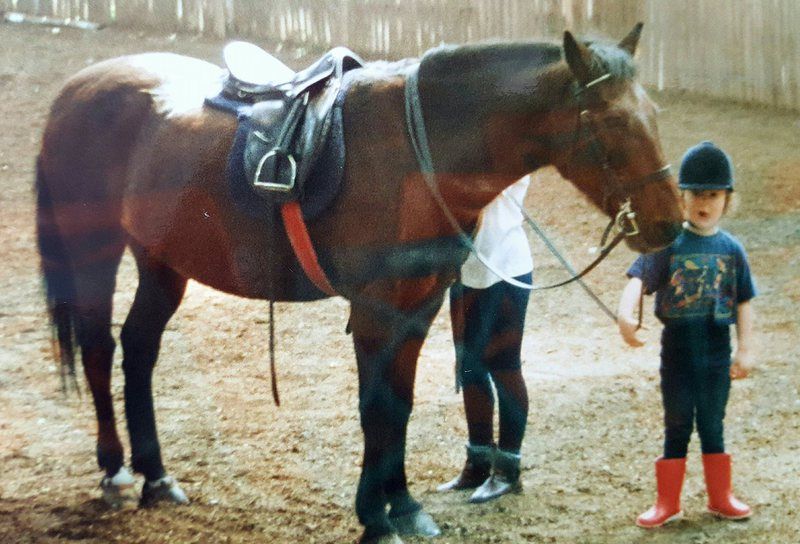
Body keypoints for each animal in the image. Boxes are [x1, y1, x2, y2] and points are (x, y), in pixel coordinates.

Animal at [35, 23, 682, 544]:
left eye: (656, 116)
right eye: (613, 123)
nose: (668, 224)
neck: (421, 149)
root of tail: (76, 90)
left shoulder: (417, 307)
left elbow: (400, 404)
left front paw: (404, 506)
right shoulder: (376, 311)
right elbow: (377, 408)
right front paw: (375, 517)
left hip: (162, 259)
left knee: (139, 348)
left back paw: (156, 476)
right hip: (94, 250)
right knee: (99, 349)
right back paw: (116, 472)